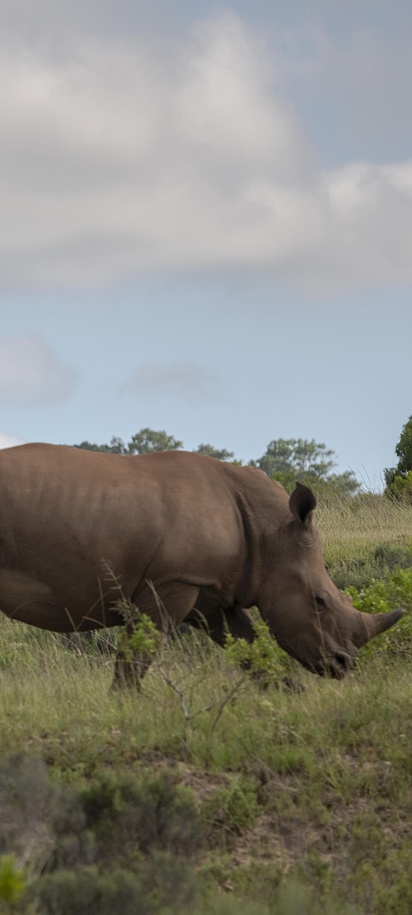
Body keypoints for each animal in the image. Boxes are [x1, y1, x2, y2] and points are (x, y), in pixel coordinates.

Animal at [0, 443, 403, 685]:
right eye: (320, 602)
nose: (343, 665)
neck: (271, 533)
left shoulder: (213, 593)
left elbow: (254, 653)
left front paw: (290, 705)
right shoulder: (173, 581)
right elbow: (136, 657)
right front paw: (122, 710)